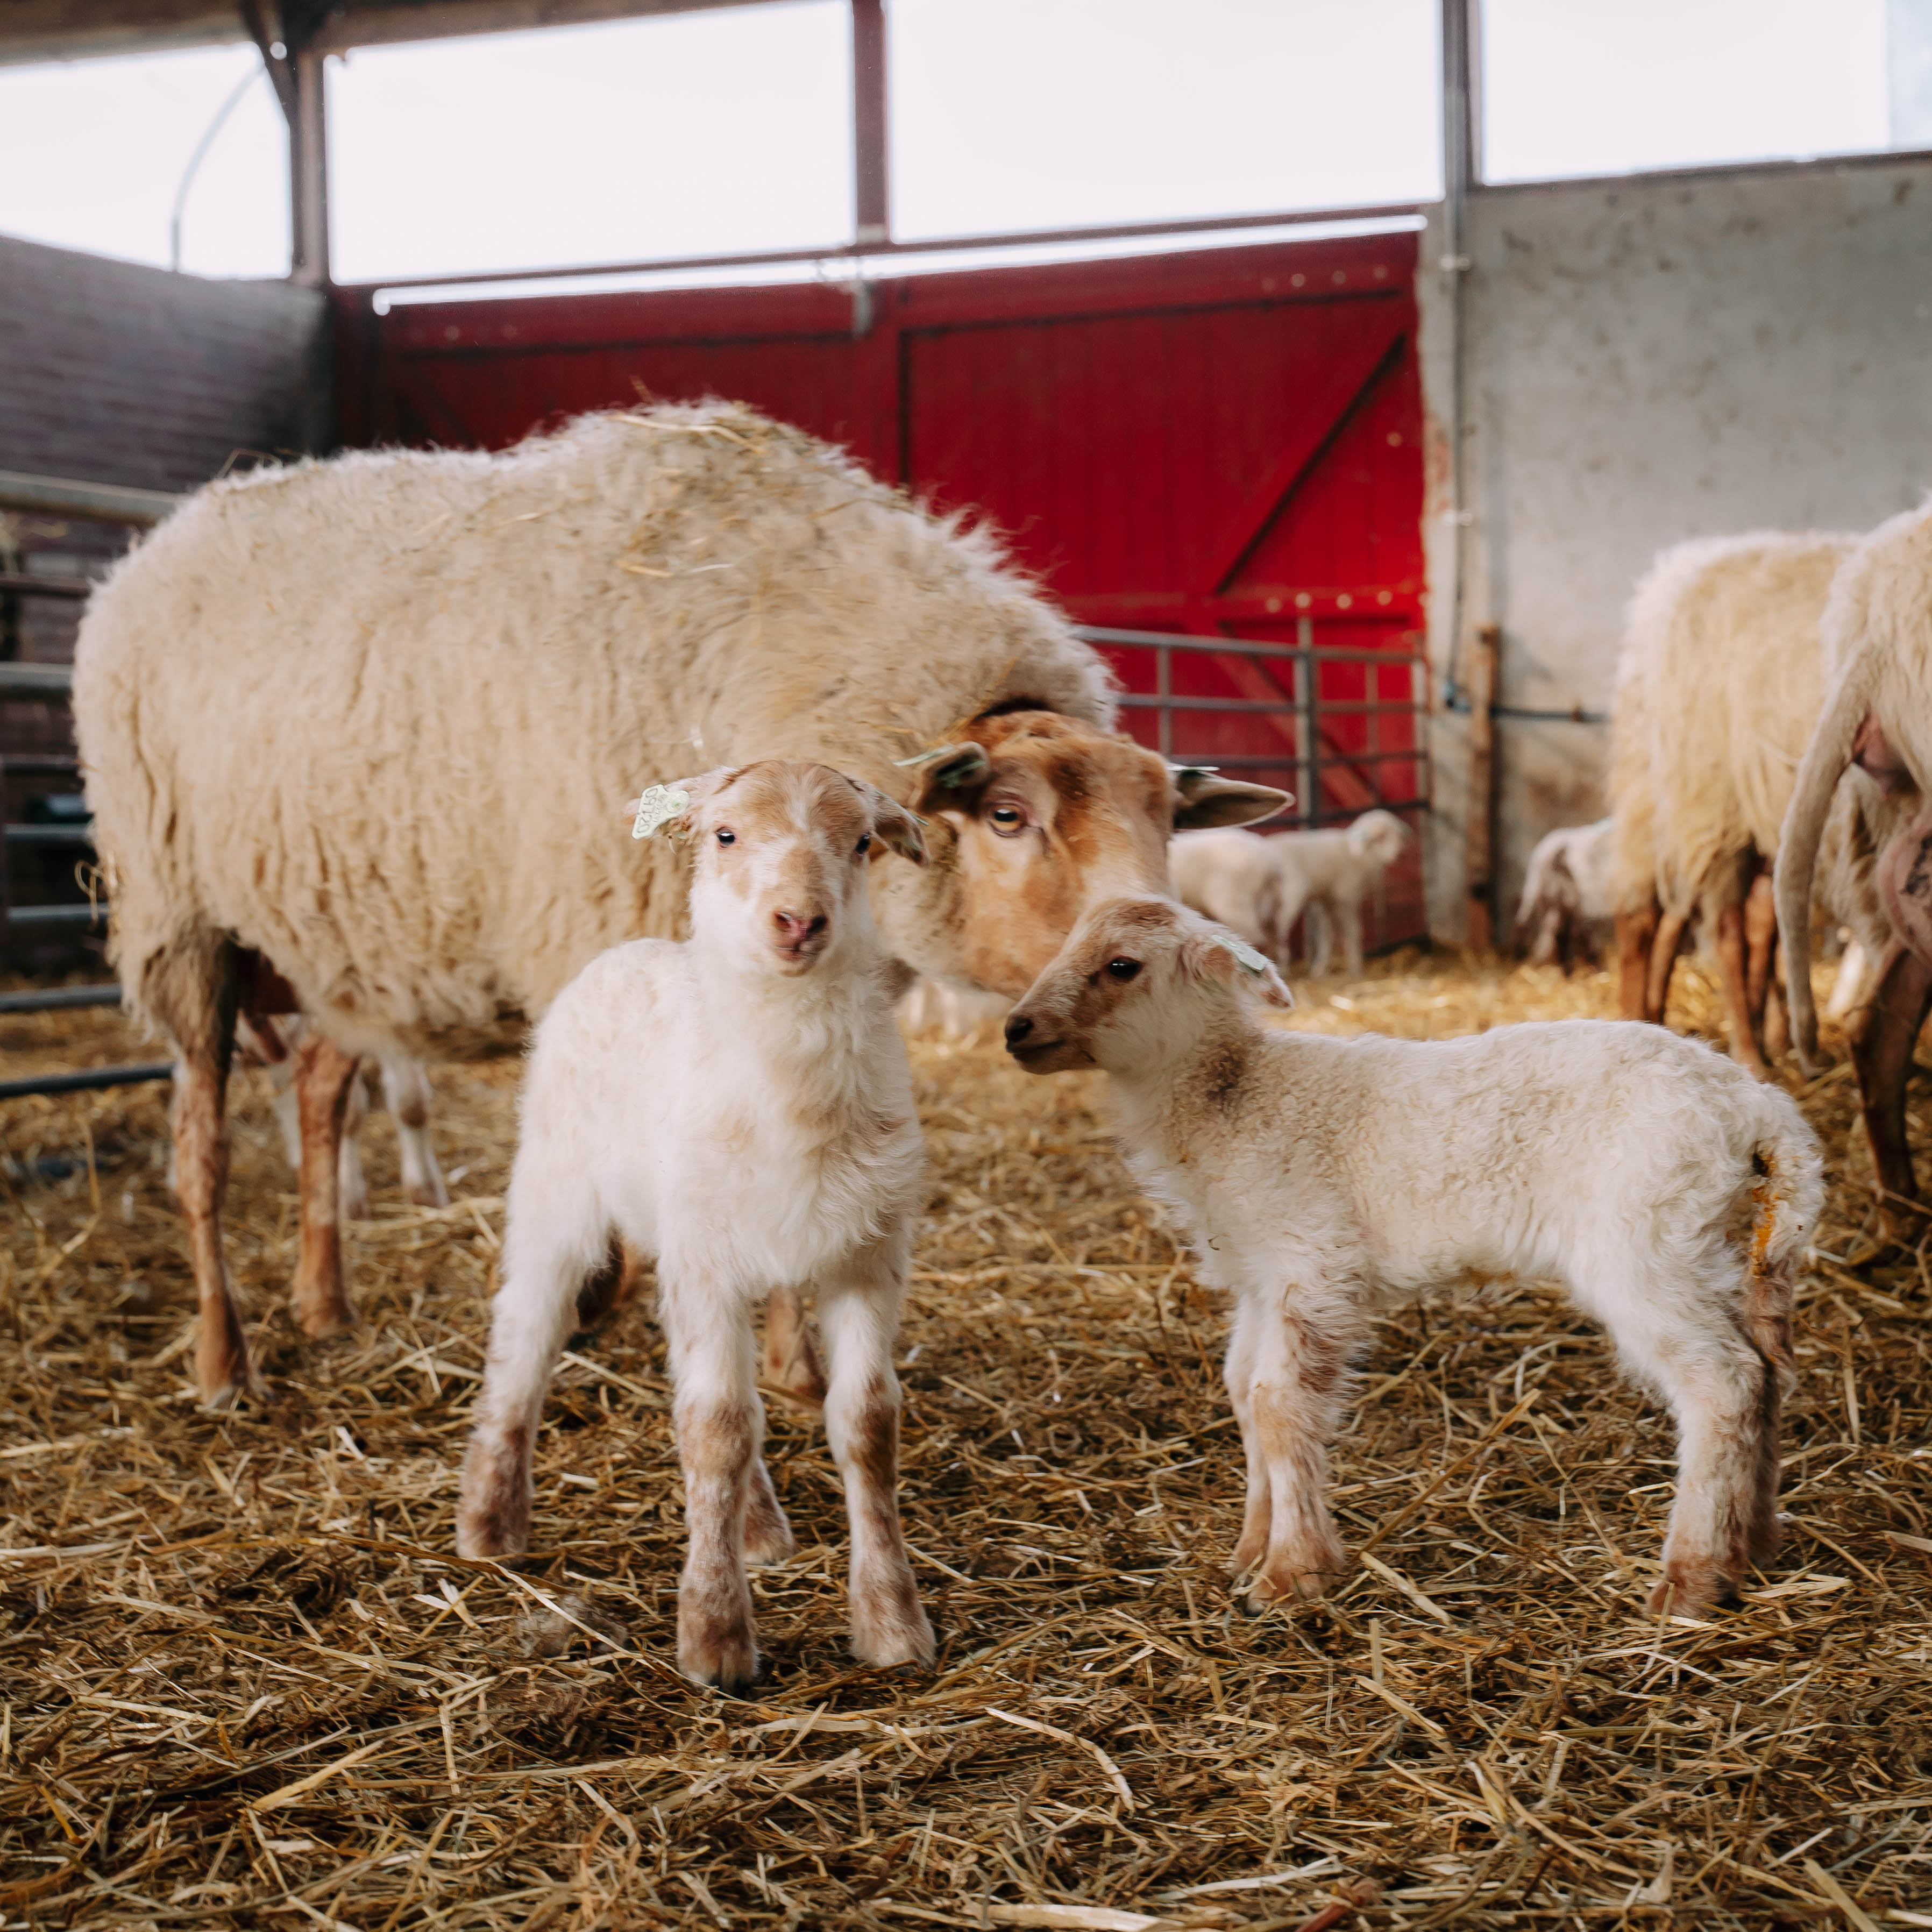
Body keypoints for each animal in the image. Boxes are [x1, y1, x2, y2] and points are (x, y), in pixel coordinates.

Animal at [74, 401, 1285, 1406]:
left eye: (1162, 816)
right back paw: (223, 1361)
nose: (1169, 947)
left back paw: (326, 1303)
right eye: (1004, 814)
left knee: (322, 1093)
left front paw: (793, 1368)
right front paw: (620, 1305)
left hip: (337, 941)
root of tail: (157, 541)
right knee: (199, 1151)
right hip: (181, 921)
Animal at [457, 763, 933, 1690]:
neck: (790, 1089)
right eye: (725, 835)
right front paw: (715, 1639)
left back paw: (758, 1526)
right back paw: (492, 1522)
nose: (799, 921)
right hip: (557, 1190)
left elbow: (865, 1425)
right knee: (525, 1334)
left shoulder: (865, 1255)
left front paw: (893, 1624)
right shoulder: (706, 1259)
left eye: (861, 841)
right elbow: (713, 1432)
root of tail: (628, 949)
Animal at [1001, 896, 1823, 1614]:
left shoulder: (1315, 1261)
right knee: (1765, 1373)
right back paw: (1755, 1544)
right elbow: (1245, 1393)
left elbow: (1280, 1406)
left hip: (1643, 1242)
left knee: (1723, 1382)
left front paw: (1291, 1574)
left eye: (1122, 965)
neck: (1232, 1095)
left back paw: (1693, 1578)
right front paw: (1250, 1550)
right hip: (1707, 1244)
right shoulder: (1264, 1277)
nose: (1016, 1028)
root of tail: (1756, 1110)